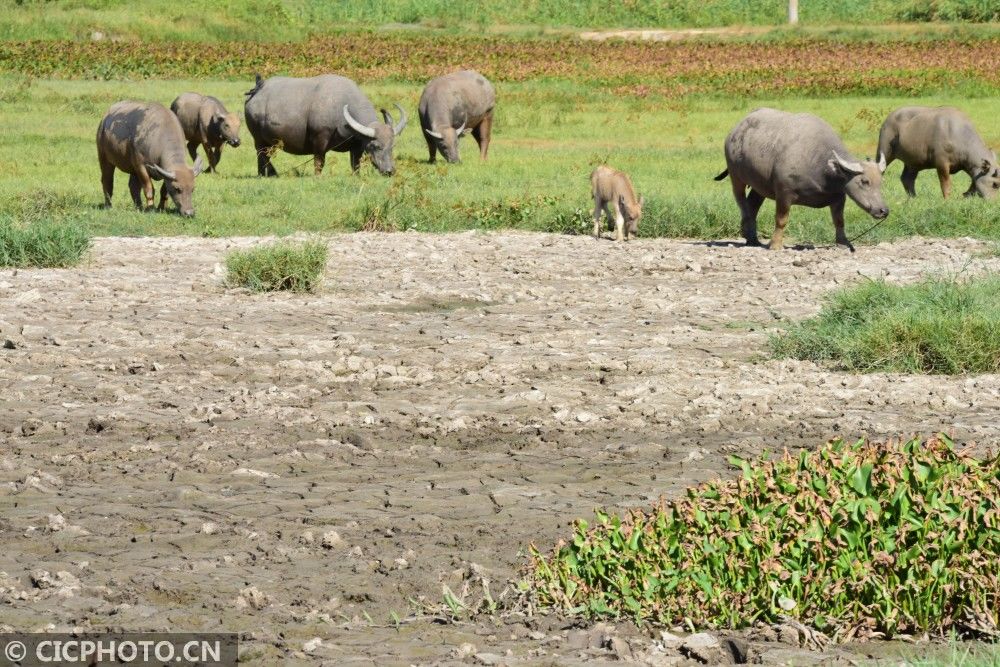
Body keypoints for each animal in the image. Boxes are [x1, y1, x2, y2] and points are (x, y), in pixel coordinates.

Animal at [245, 73, 406, 177]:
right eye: (377, 146)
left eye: (392, 146)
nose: (390, 171)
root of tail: (258, 89)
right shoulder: (320, 139)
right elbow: (319, 161)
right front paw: (318, 176)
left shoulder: (357, 146)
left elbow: (355, 164)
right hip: (258, 139)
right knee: (262, 155)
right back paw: (269, 173)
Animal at [716, 108, 888, 252]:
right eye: (864, 181)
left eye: (881, 182)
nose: (883, 211)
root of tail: (735, 131)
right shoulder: (784, 193)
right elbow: (781, 220)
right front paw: (775, 245)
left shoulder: (839, 197)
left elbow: (839, 221)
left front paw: (843, 243)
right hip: (736, 176)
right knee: (742, 202)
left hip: (760, 185)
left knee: (752, 204)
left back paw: (752, 238)